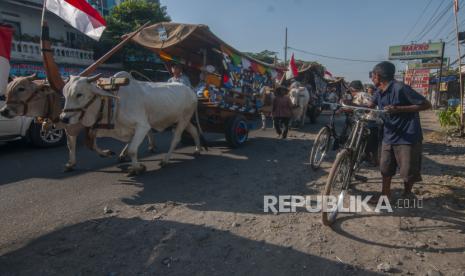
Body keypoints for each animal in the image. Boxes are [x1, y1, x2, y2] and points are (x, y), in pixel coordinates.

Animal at [59, 71, 201, 175]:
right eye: (64, 95)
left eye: (79, 94)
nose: (63, 118)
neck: (113, 104)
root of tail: (190, 90)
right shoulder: (97, 128)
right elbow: (88, 145)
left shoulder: (143, 126)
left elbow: (133, 149)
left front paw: (137, 168)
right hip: (181, 119)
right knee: (194, 131)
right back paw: (198, 149)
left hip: (183, 119)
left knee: (175, 139)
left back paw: (165, 160)